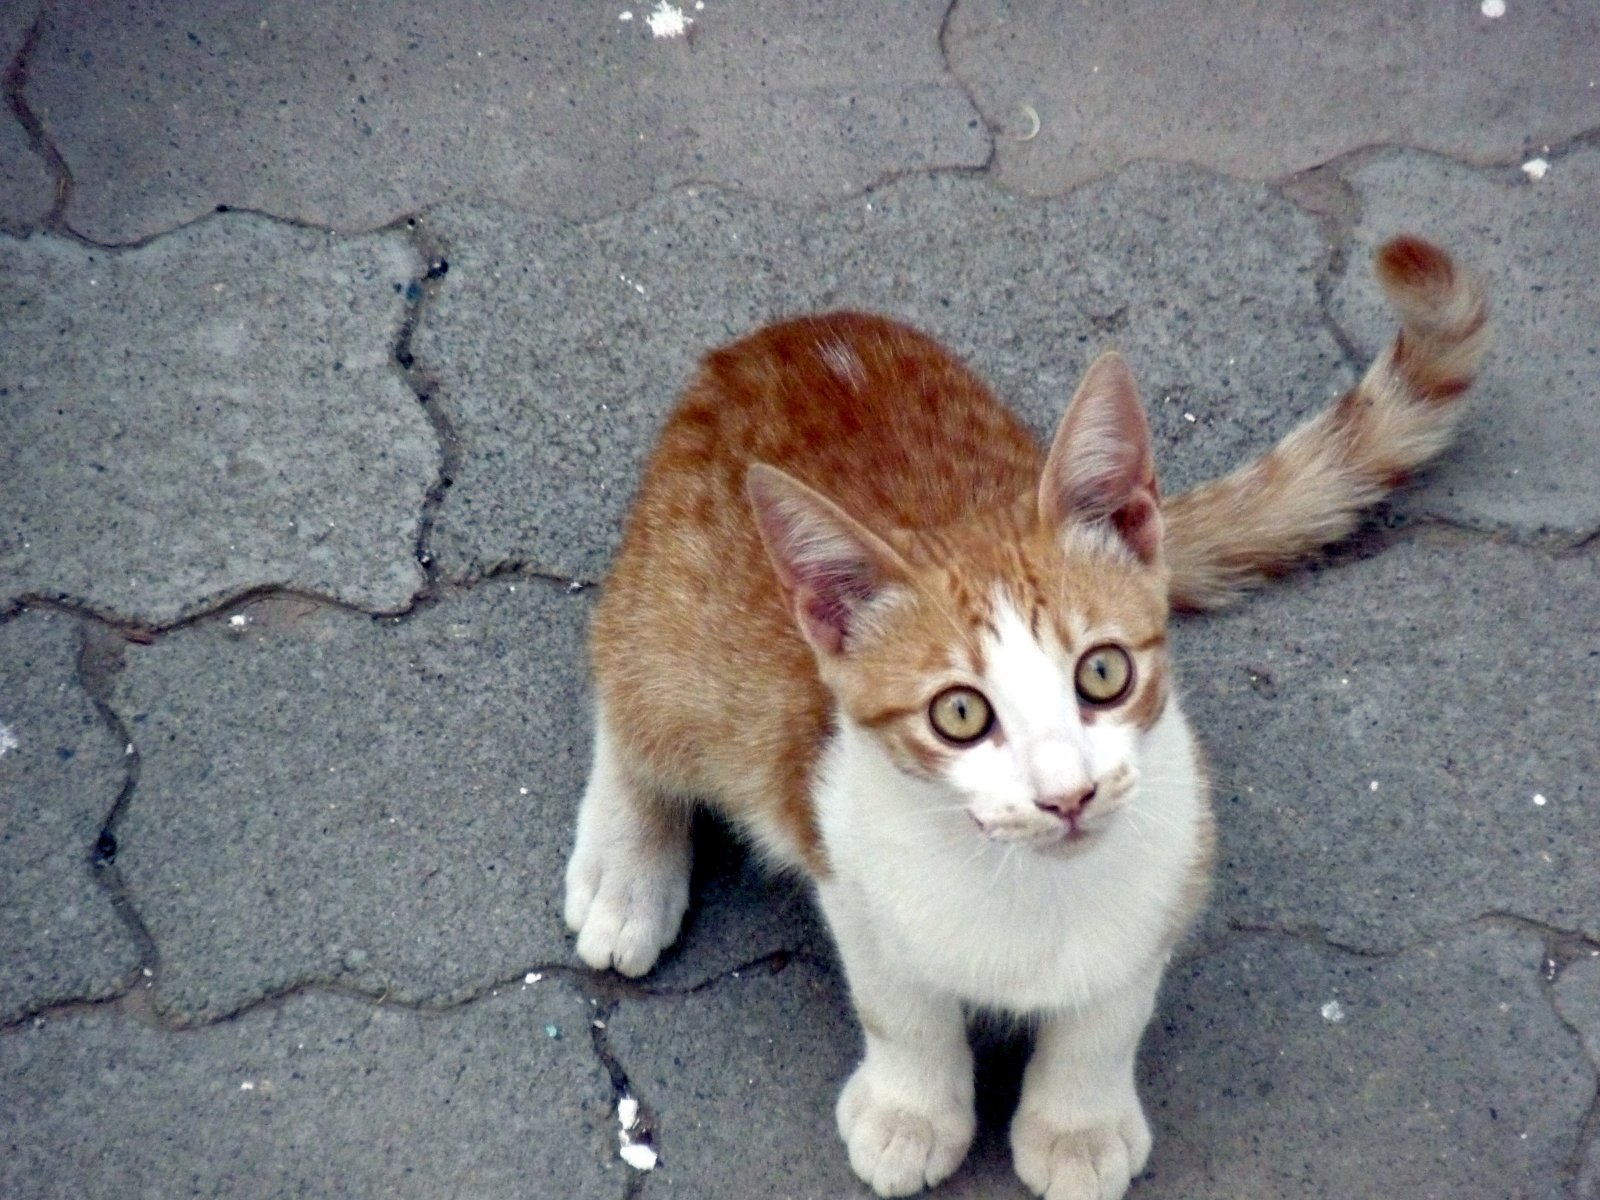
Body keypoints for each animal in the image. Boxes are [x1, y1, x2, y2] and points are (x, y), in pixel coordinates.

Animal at [563, 240, 1484, 1196]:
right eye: (961, 713)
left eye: (1104, 672)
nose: (1067, 795)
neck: (1030, 889)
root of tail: (788, 334)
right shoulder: (842, 859)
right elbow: (901, 1005)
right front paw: (912, 1111)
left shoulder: (1173, 863)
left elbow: (1111, 1011)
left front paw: (1078, 1123)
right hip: (683, 635)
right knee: (629, 690)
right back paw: (625, 871)